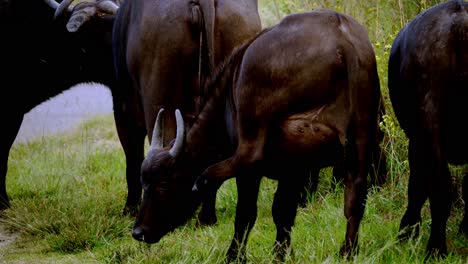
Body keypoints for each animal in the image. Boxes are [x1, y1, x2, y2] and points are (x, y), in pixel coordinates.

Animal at [132, 9, 384, 260]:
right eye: (145, 183)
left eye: (164, 183)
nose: (138, 232)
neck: (226, 96)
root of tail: (341, 37)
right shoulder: (294, 170)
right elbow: (283, 211)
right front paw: (281, 252)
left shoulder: (257, 173)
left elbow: (246, 214)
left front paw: (235, 256)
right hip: (361, 132)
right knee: (356, 192)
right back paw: (348, 250)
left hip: (257, 126)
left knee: (248, 157)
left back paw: (204, 179)